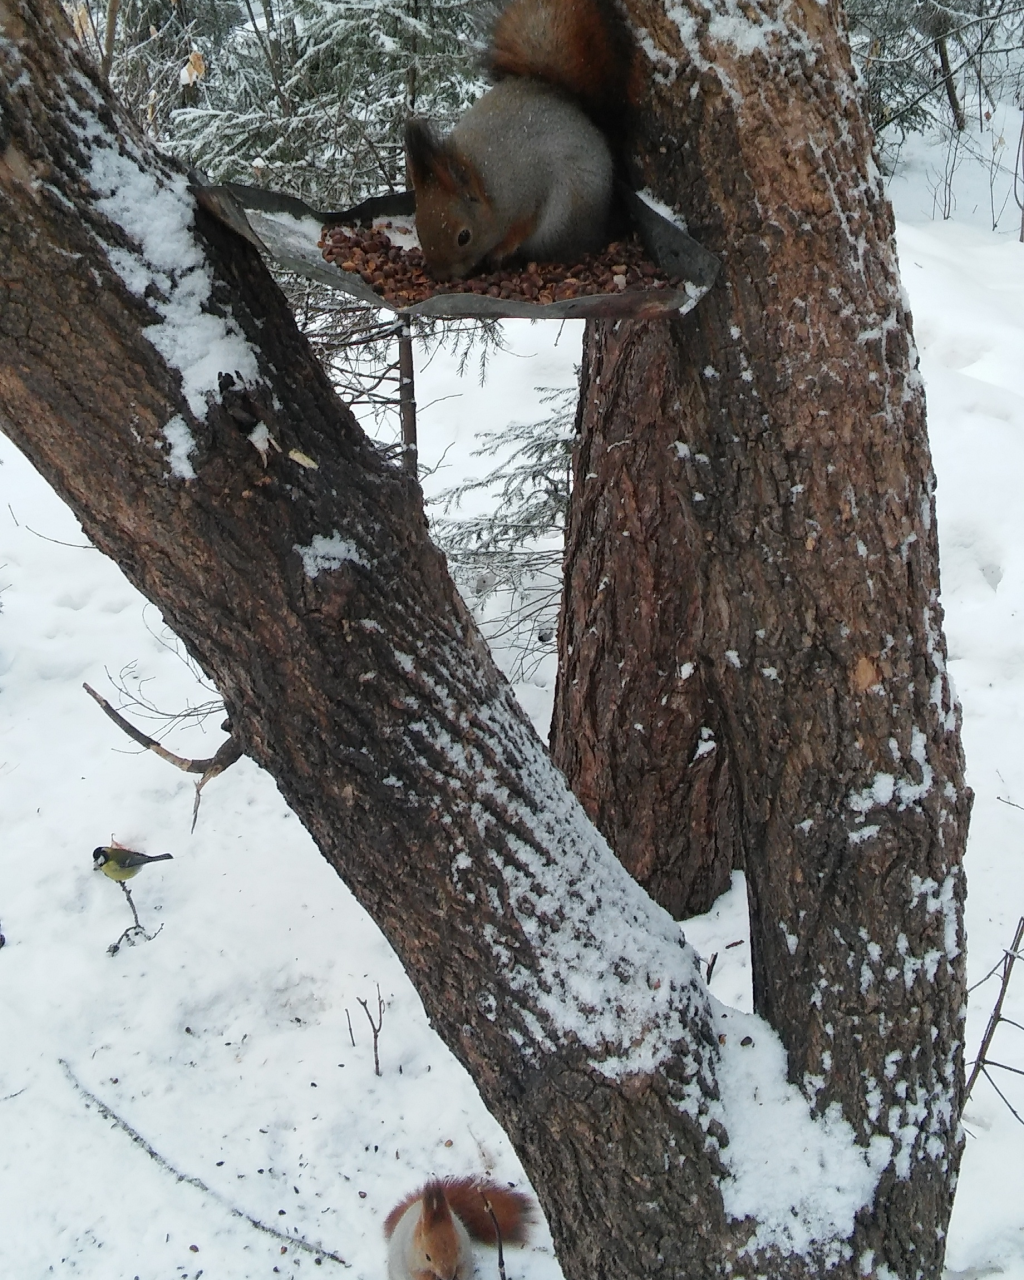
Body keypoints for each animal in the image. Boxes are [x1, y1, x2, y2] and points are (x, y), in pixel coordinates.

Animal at [386, 1172, 535, 1280]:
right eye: (427, 1257)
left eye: (458, 1249)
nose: (448, 1276)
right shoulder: (411, 1262)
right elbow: (421, 1276)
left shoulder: (463, 1257)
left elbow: (462, 1270)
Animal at [401, 0, 627, 280]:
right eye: (417, 226)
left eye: (464, 237)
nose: (442, 275)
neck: (486, 183)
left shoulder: (532, 190)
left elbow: (525, 225)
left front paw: (502, 249)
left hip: (569, 213)